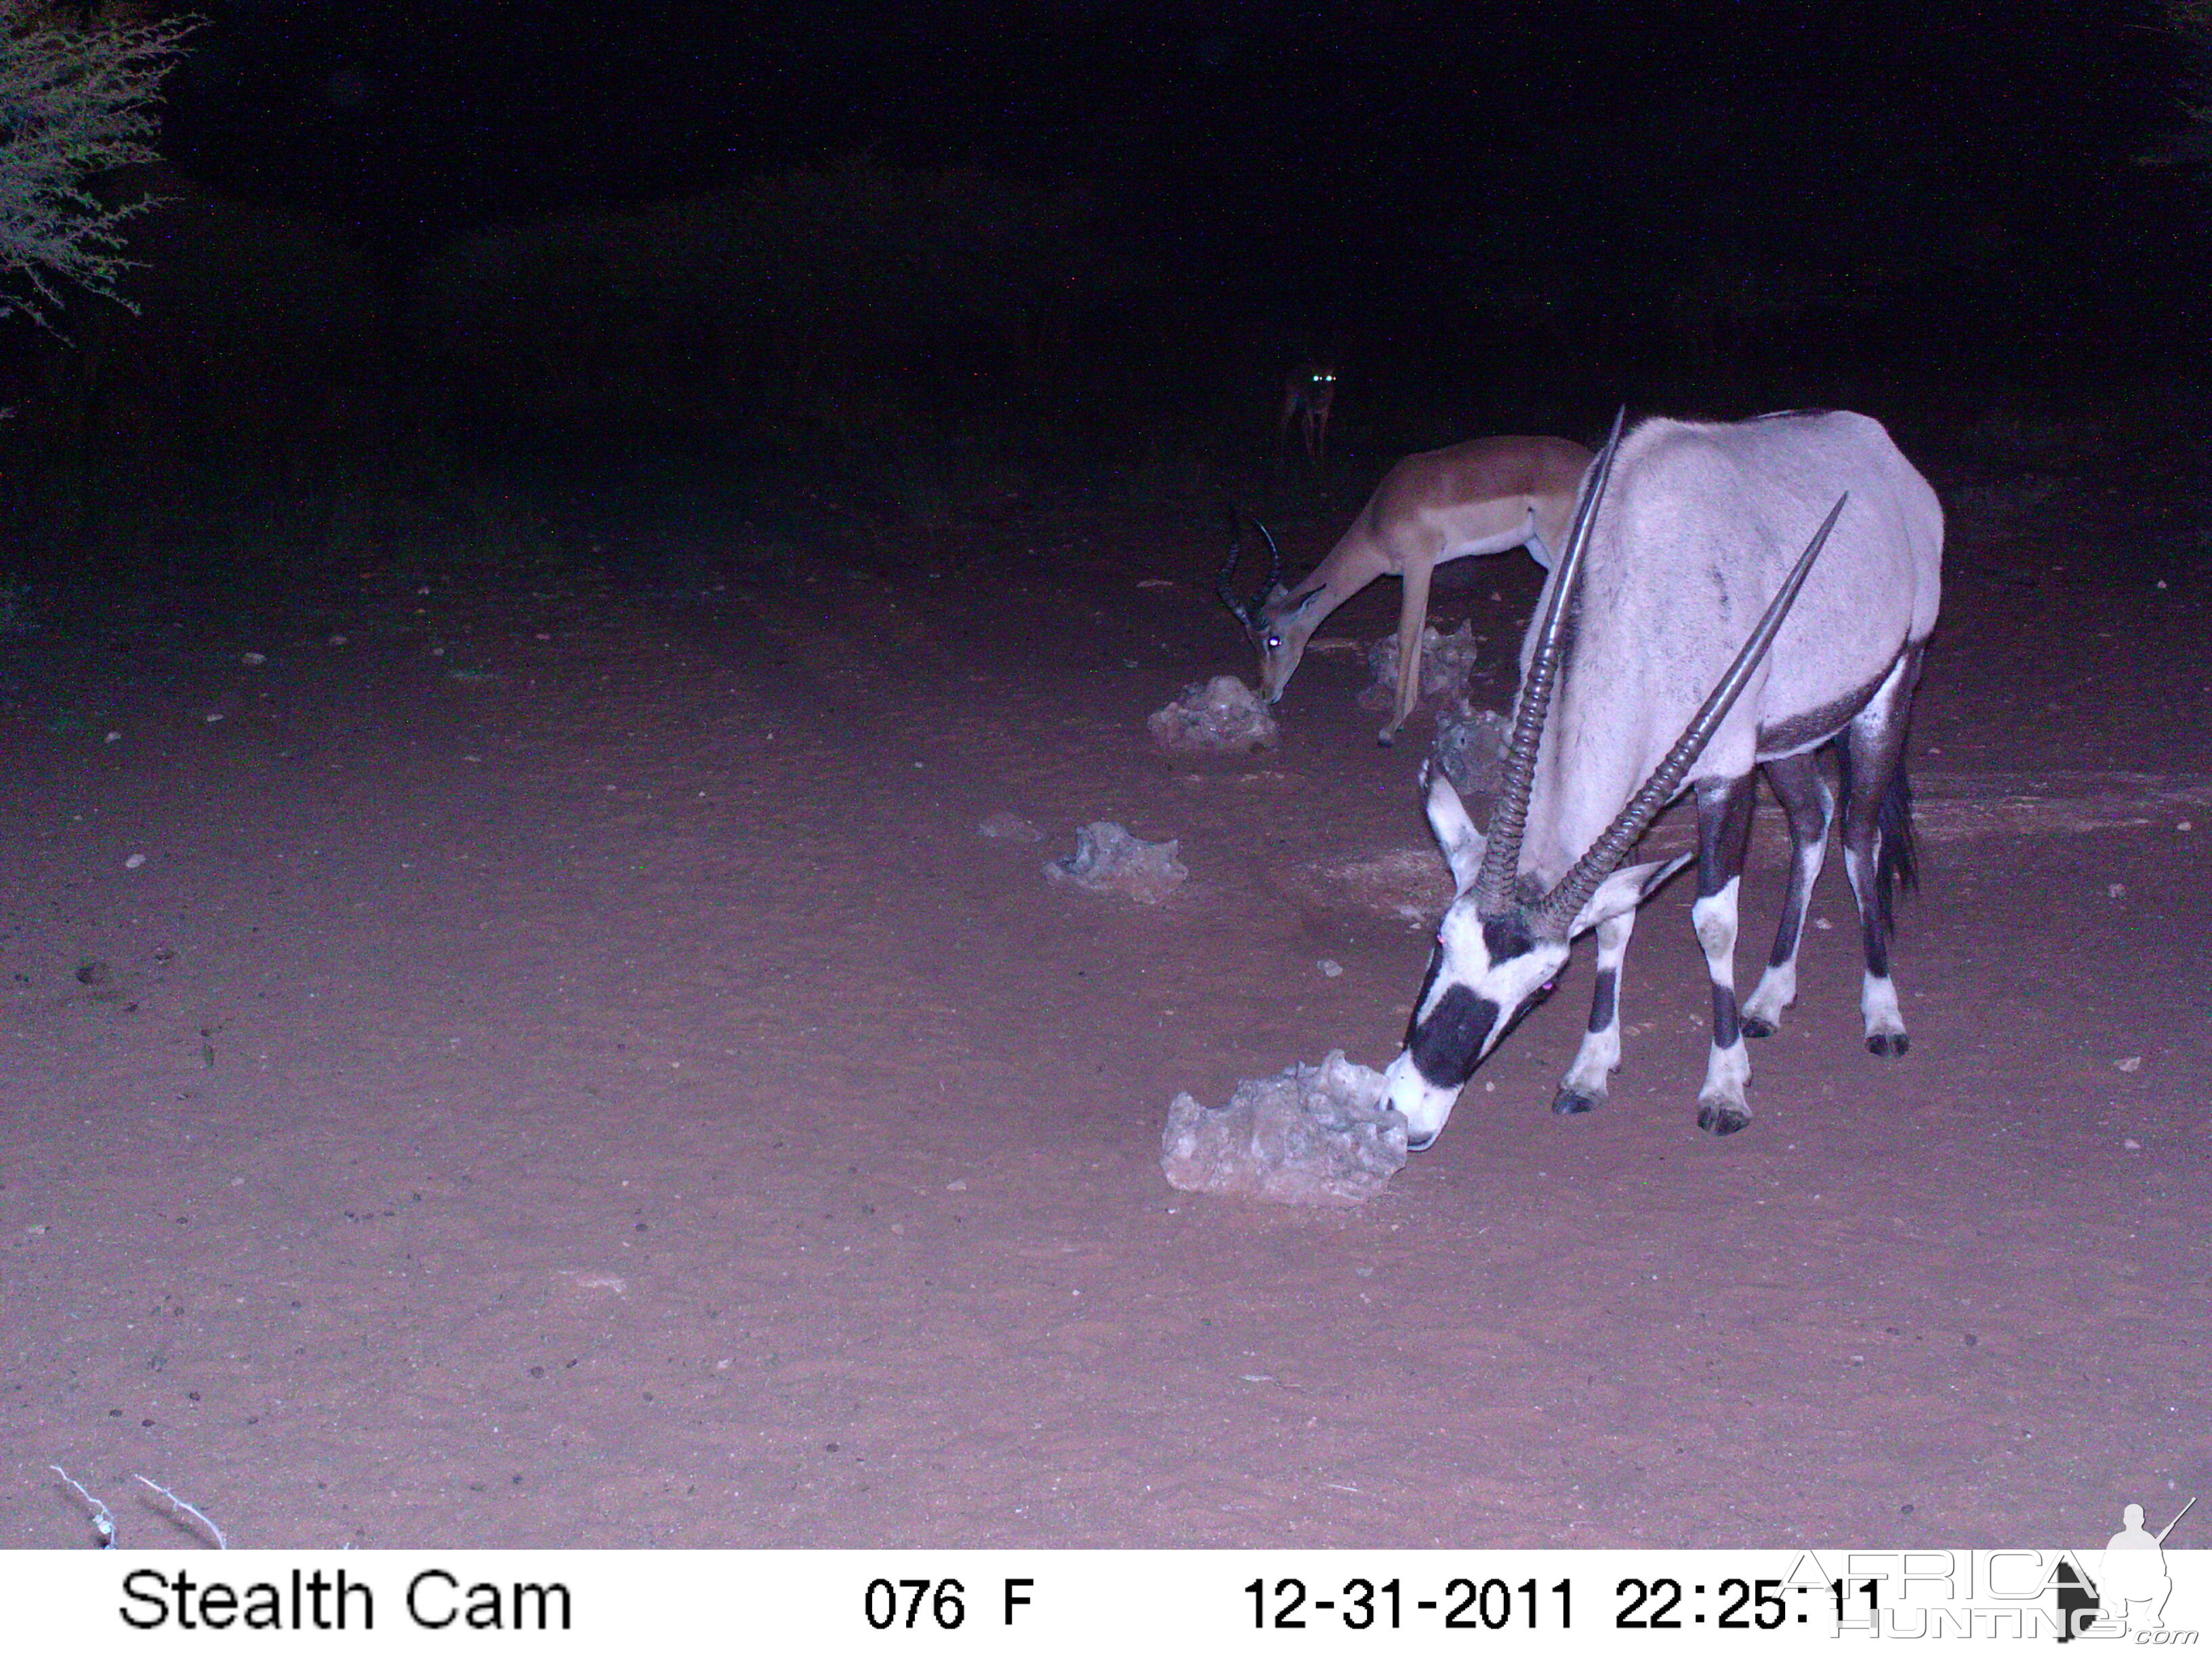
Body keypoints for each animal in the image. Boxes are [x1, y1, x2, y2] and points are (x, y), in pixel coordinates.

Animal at [1221, 436, 1601, 739]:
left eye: (1273, 640)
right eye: (1250, 641)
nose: (1266, 693)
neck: (1379, 518)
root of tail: (1593, 462)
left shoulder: (1418, 564)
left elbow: (1405, 635)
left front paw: (1391, 727)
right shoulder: (1421, 572)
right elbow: (1417, 633)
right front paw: (1408, 712)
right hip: (1540, 550)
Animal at [1389, 409, 1946, 1150]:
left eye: (1543, 988)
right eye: (1439, 939)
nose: (1409, 1112)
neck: (1635, 580)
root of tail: (1884, 451)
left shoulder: (1726, 774)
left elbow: (1714, 922)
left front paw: (1725, 1089)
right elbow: (1618, 919)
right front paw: (1590, 1071)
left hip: (1892, 684)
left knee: (1858, 837)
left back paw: (1882, 1013)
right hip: (1787, 736)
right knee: (1813, 821)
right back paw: (1769, 998)